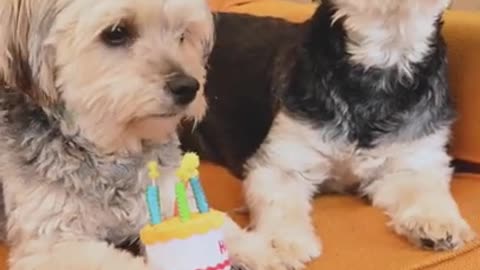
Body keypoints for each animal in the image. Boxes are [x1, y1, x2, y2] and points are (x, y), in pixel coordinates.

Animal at [181, 1, 476, 268]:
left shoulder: (413, 156)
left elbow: (422, 188)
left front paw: (436, 222)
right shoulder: (283, 160)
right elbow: (280, 202)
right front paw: (282, 244)